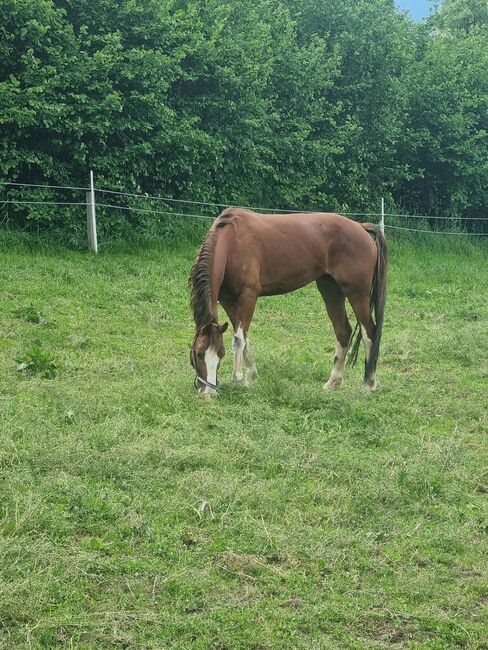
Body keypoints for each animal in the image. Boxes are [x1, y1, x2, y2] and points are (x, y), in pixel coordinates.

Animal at [189, 209, 386, 394]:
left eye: (221, 354)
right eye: (198, 354)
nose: (207, 391)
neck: (232, 242)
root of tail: (361, 227)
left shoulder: (248, 297)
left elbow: (239, 339)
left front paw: (238, 377)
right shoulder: (228, 301)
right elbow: (244, 337)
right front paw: (251, 377)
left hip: (357, 294)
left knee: (369, 333)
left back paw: (369, 383)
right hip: (331, 290)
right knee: (343, 331)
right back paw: (333, 382)